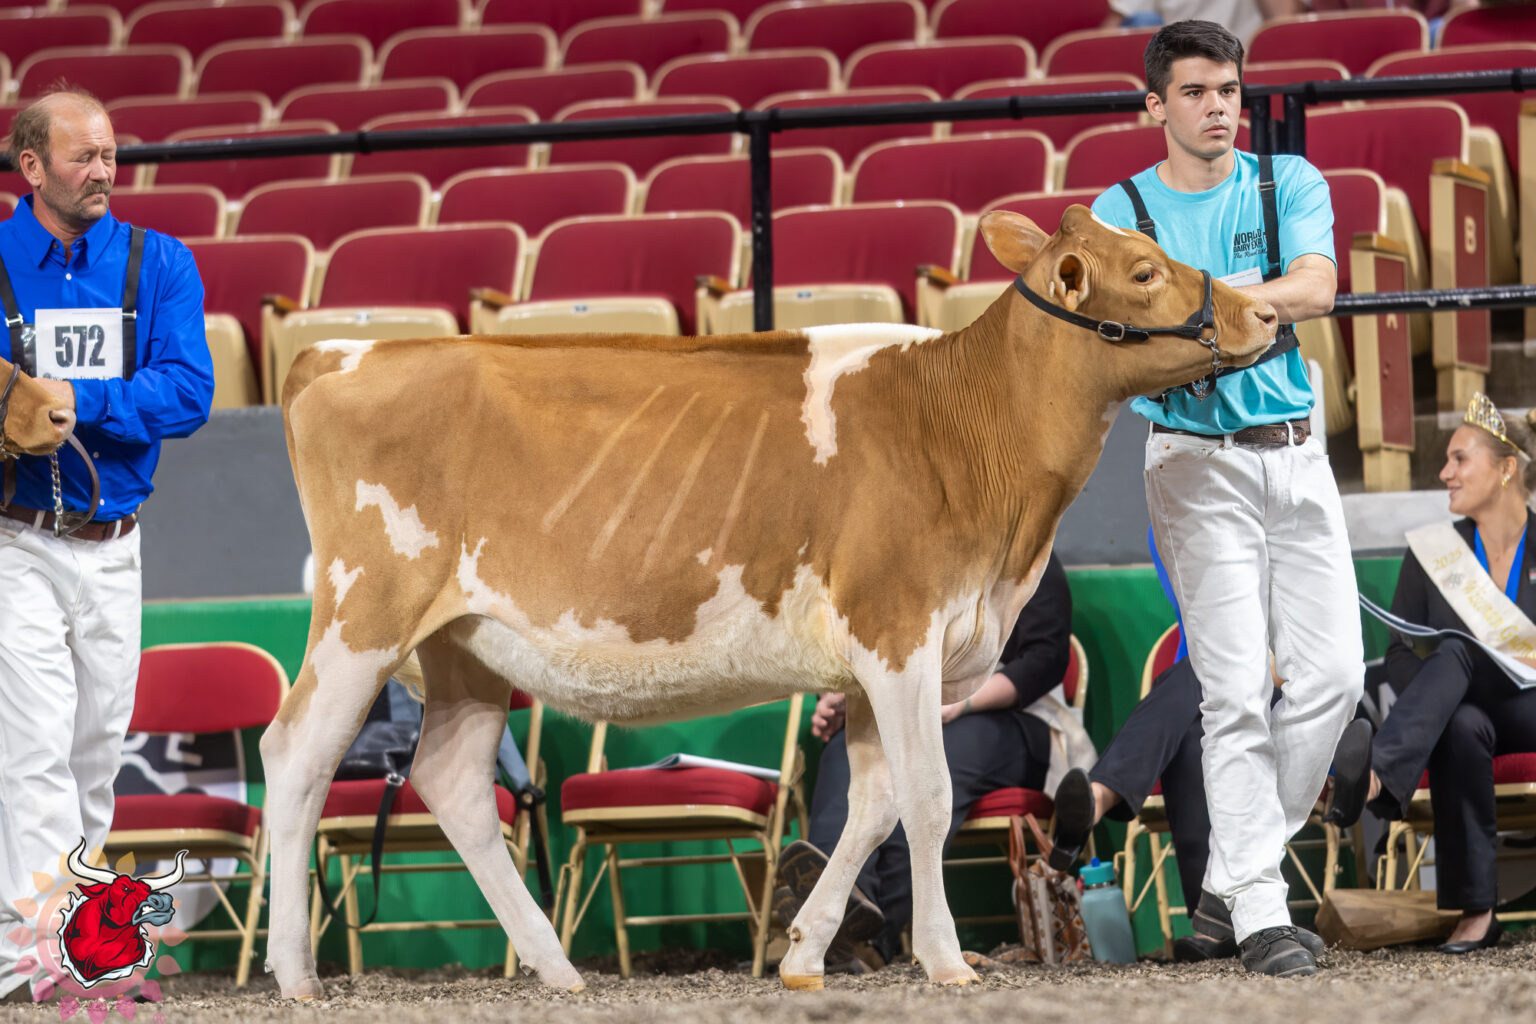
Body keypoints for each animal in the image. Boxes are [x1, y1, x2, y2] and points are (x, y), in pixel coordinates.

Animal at [262, 206, 1279, 998]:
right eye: (1145, 271)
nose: (1266, 308)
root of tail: (341, 352)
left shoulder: (884, 663)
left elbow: (872, 803)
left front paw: (803, 954)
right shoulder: (898, 627)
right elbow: (929, 798)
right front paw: (946, 960)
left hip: (466, 644)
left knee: (453, 781)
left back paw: (557, 968)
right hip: (366, 612)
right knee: (296, 753)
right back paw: (297, 973)